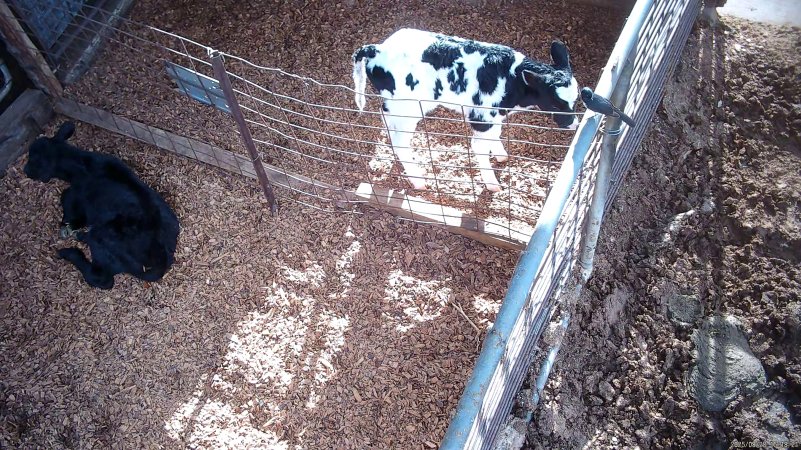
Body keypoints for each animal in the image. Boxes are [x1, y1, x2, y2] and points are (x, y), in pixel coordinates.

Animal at [24, 121, 180, 290]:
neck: (81, 165)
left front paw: (68, 224)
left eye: (32, 159)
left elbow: (66, 198)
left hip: (104, 244)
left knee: (102, 278)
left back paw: (70, 250)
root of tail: (161, 261)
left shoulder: (78, 197)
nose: (25, 170)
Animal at [352, 28, 579, 192]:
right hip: (410, 107)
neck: (511, 79)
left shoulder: (493, 117)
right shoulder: (482, 116)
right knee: (400, 141)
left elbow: (495, 135)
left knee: (387, 121)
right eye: (556, 104)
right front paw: (493, 185)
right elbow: (479, 146)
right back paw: (418, 180)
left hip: (397, 104)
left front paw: (501, 155)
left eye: (575, 100)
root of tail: (377, 49)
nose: (574, 124)